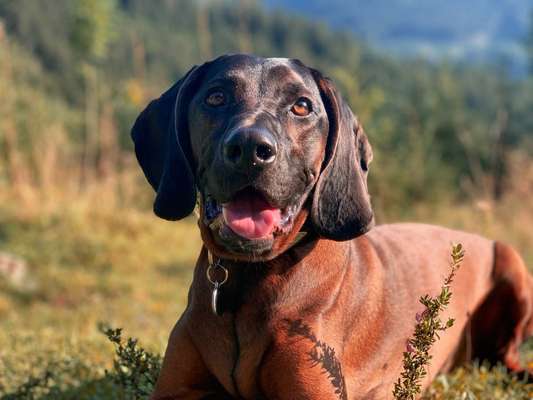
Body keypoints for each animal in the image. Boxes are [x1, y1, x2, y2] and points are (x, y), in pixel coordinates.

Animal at [130, 54, 532, 398]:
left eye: (301, 106)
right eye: (216, 97)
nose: (249, 149)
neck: (248, 279)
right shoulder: (176, 390)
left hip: (511, 263)